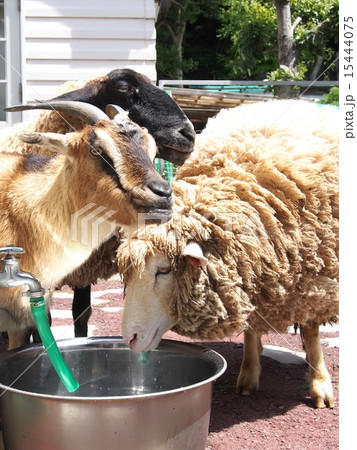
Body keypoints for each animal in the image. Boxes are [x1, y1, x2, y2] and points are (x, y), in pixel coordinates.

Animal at [117, 100, 340, 410]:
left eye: (164, 270)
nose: (130, 338)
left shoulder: (316, 282)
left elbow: (311, 330)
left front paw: (320, 383)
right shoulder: (250, 271)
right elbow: (250, 325)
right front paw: (249, 374)